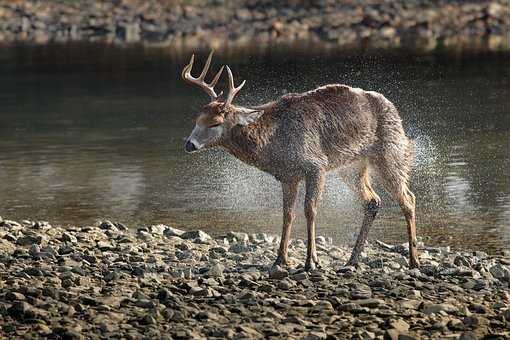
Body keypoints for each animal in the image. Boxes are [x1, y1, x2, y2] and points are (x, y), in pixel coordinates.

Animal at [181, 51, 420, 272]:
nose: (189, 144)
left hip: (390, 152)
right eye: (197, 119)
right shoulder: (288, 176)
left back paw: (414, 261)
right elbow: (288, 214)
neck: (275, 144)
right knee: (373, 201)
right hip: (352, 167)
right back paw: (352, 260)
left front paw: (311, 261)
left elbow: (310, 210)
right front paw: (281, 259)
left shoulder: (316, 165)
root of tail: (394, 110)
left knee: (408, 198)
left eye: (215, 123)